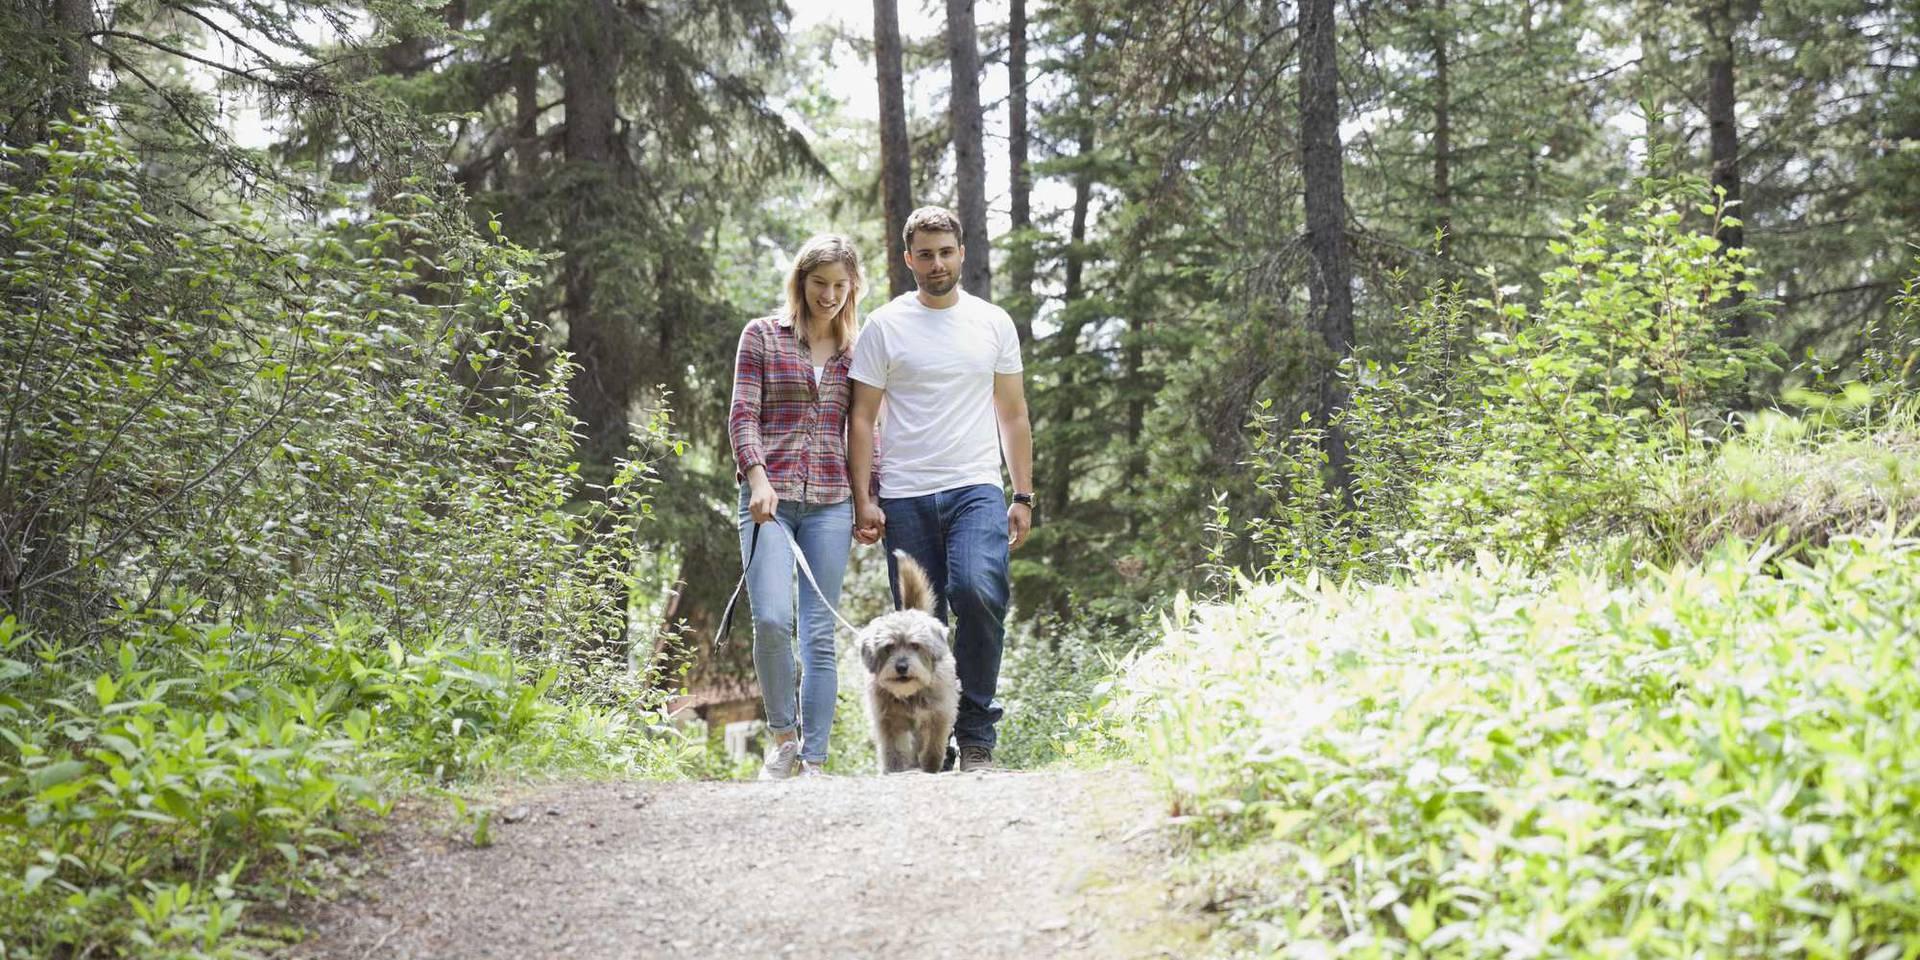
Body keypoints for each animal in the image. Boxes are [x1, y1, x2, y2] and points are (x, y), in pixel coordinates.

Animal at [860, 552, 956, 775]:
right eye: (889, 647)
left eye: (915, 645)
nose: (902, 667)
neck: (910, 694)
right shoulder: (888, 721)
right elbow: (892, 750)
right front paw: (894, 770)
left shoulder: (939, 714)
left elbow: (933, 745)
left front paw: (930, 766)